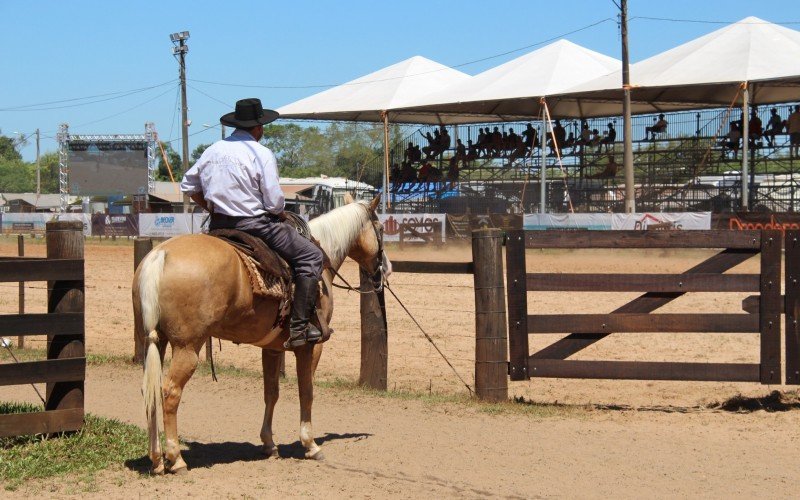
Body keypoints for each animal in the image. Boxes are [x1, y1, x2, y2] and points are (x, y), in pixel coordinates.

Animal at [133, 195, 390, 472]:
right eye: (381, 228)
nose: (386, 268)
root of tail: (160, 255)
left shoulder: (272, 348)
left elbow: (271, 393)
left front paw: (269, 444)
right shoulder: (310, 346)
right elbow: (306, 391)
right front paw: (310, 445)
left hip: (154, 341)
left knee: (149, 391)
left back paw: (156, 459)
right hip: (187, 347)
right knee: (169, 392)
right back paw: (176, 458)